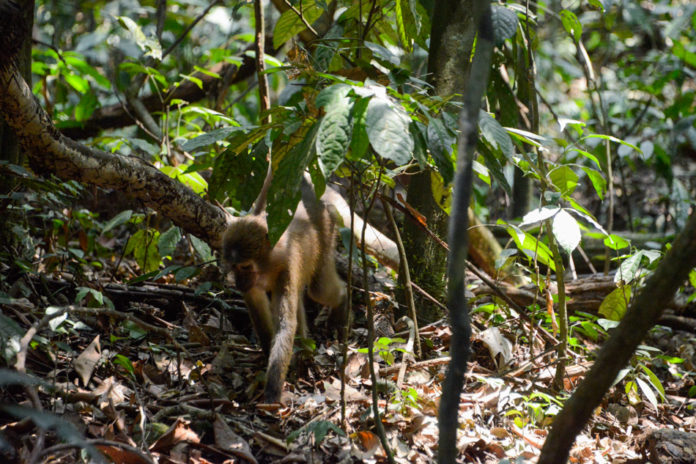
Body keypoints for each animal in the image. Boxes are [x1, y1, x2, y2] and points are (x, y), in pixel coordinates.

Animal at [220, 175, 346, 402]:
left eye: (245, 267)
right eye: (234, 267)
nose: (238, 283)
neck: (269, 265)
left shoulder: (287, 268)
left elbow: (285, 324)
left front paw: (272, 390)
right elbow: (260, 313)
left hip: (326, 231)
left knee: (318, 289)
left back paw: (342, 302)